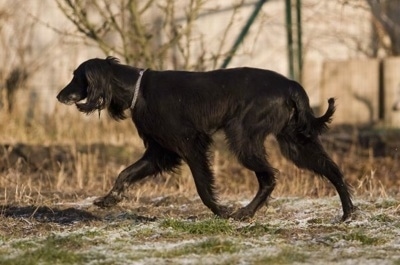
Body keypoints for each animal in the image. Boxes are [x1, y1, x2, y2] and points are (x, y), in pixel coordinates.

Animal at [55, 56, 354, 220]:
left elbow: (202, 187)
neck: (137, 89)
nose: (59, 96)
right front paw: (109, 199)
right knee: (332, 170)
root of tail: (291, 85)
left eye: (76, 77)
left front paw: (220, 210)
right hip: (295, 143)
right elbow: (125, 173)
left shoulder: (191, 144)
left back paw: (244, 213)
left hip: (242, 136)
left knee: (269, 176)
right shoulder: (160, 152)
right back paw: (348, 213)